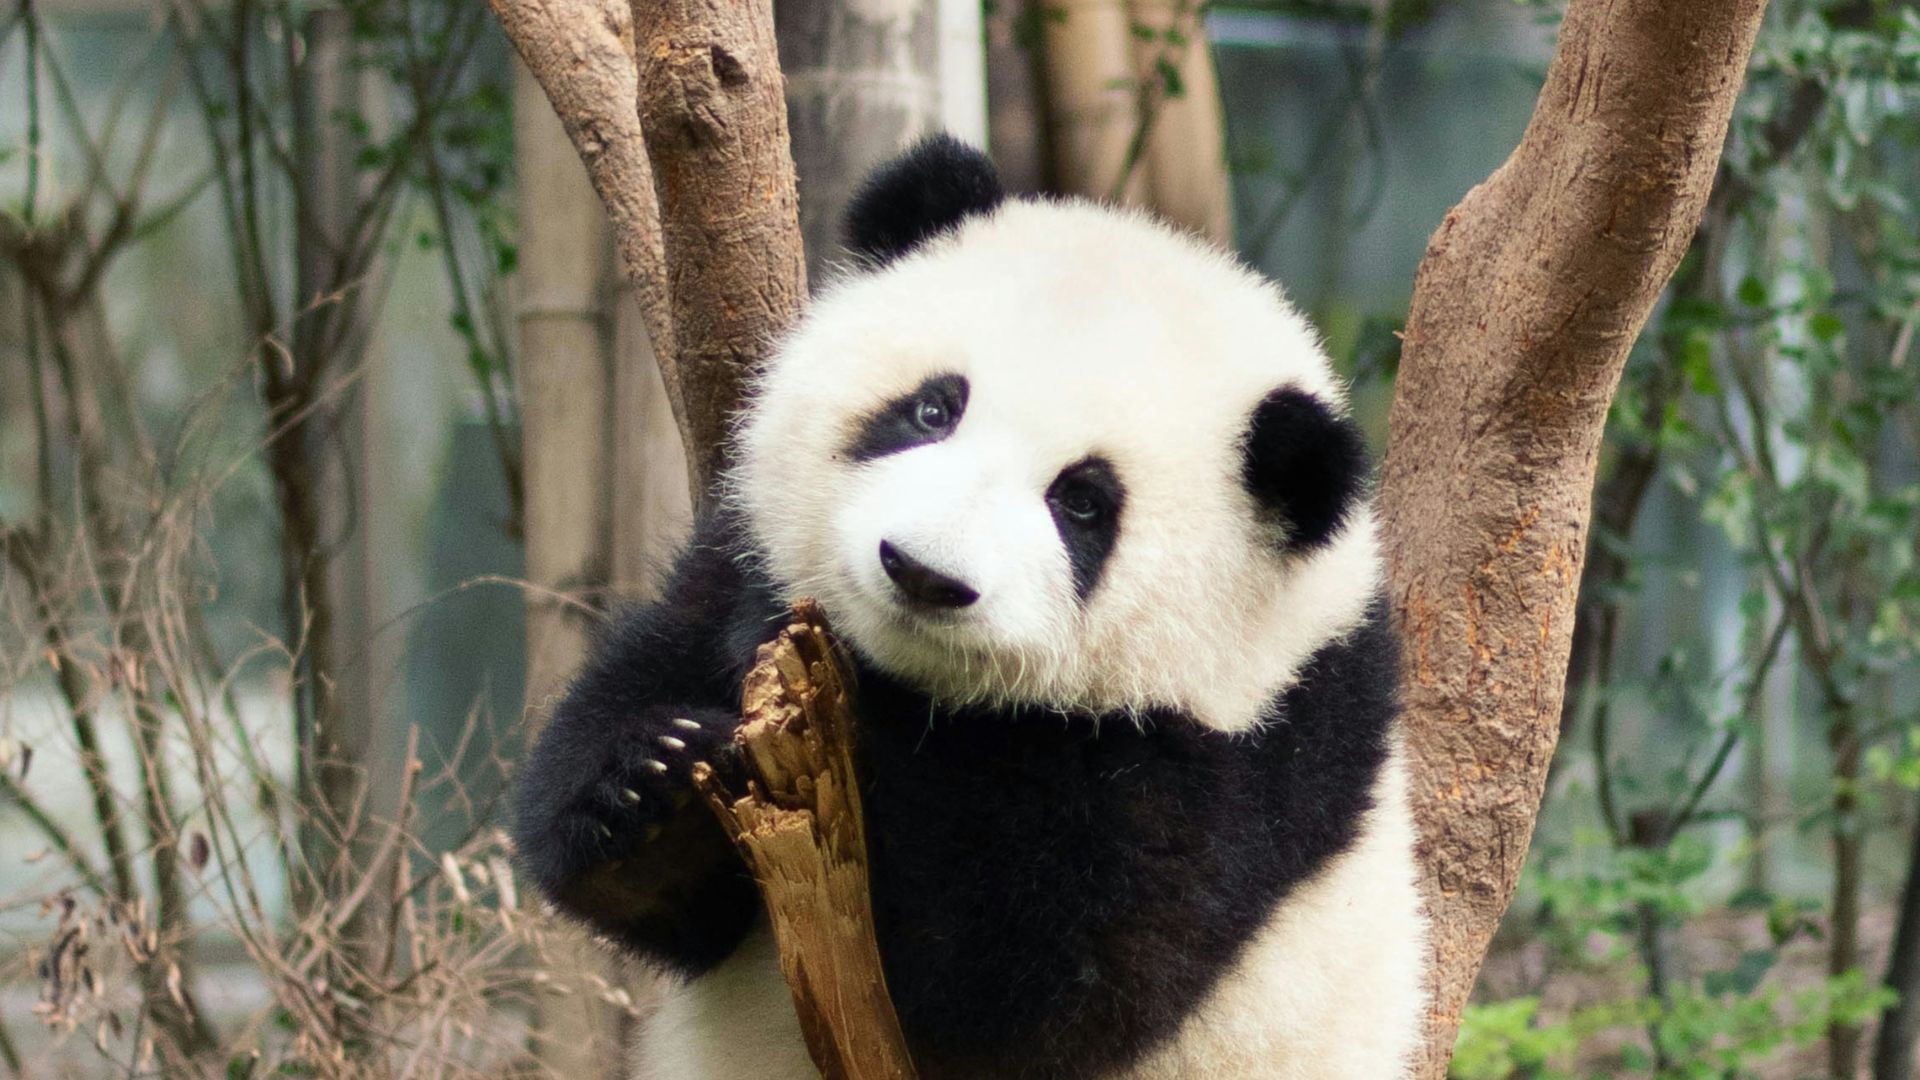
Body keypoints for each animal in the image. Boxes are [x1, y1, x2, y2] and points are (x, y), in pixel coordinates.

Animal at [511, 135, 1428, 1080]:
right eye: (931, 408)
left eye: (1083, 503)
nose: (921, 572)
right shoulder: (734, 556)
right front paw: (653, 778)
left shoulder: (1234, 764)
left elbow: (1028, 983)